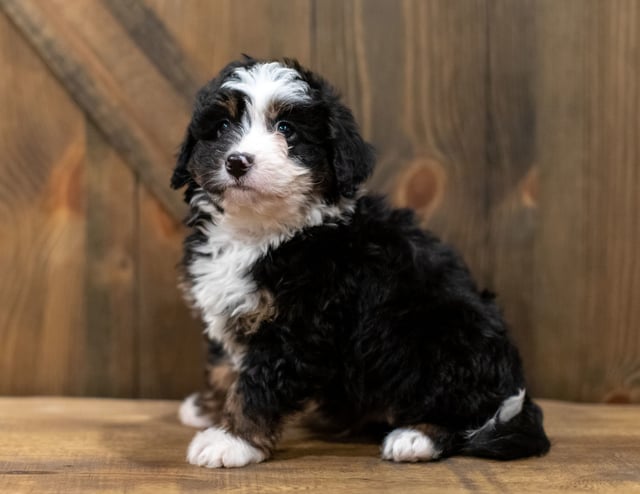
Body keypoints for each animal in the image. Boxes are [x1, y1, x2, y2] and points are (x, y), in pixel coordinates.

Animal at [170, 57, 552, 466]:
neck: (261, 232)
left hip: (444, 334)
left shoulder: (300, 327)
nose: (237, 162)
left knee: (461, 410)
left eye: (287, 129)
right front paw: (208, 407)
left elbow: (258, 384)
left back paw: (416, 436)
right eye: (222, 126)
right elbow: (224, 364)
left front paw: (231, 439)